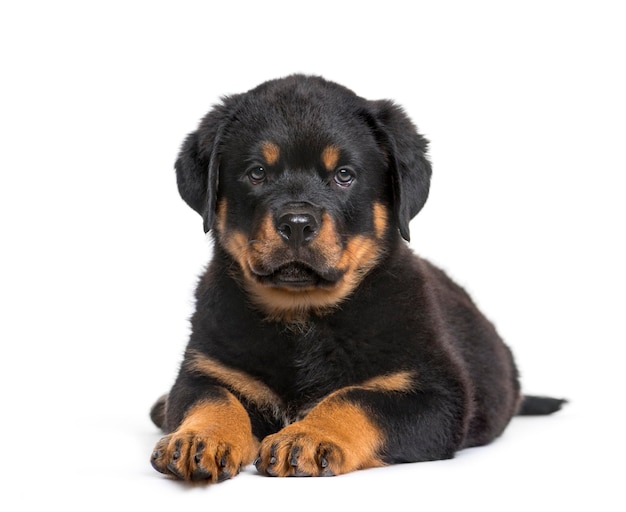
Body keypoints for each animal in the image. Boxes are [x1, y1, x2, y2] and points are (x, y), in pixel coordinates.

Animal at [149, 74, 564, 482]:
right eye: (257, 173)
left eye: (344, 176)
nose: (297, 224)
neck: (302, 318)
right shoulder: (205, 369)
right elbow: (213, 399)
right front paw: (199, 438)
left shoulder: (436, 393)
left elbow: (358, 399)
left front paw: (307, 436)